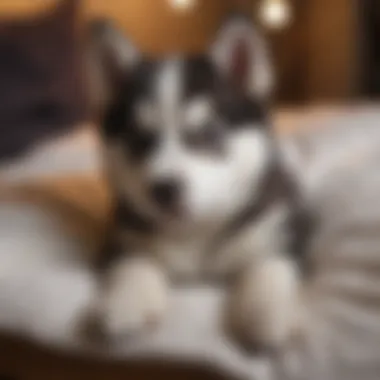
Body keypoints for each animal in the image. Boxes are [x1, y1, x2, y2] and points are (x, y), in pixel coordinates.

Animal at [89, 17, 308, 350]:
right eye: (139, 140)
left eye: (207, 133)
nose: (164, 189)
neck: (196, 233)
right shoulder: (121, 234)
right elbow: (133, 261)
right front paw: (126, 302)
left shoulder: (283, 231)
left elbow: (271, 264)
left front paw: (269, 313)